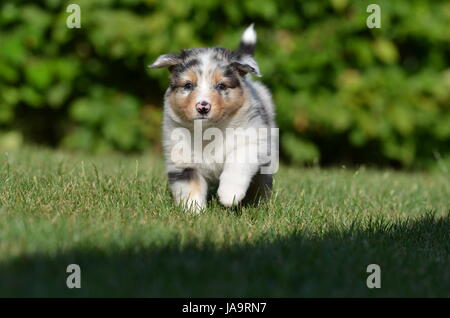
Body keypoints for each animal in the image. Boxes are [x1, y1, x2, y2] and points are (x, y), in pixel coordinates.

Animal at [150, 24, 278, 212]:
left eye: (221, 86)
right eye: (188, 85)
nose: (203, 106)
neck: (209, 130)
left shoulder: (251, 141)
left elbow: (236, 164)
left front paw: (229, 196)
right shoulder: (182, 157)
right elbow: (190, 185)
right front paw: (193, 211)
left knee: (263, 181)